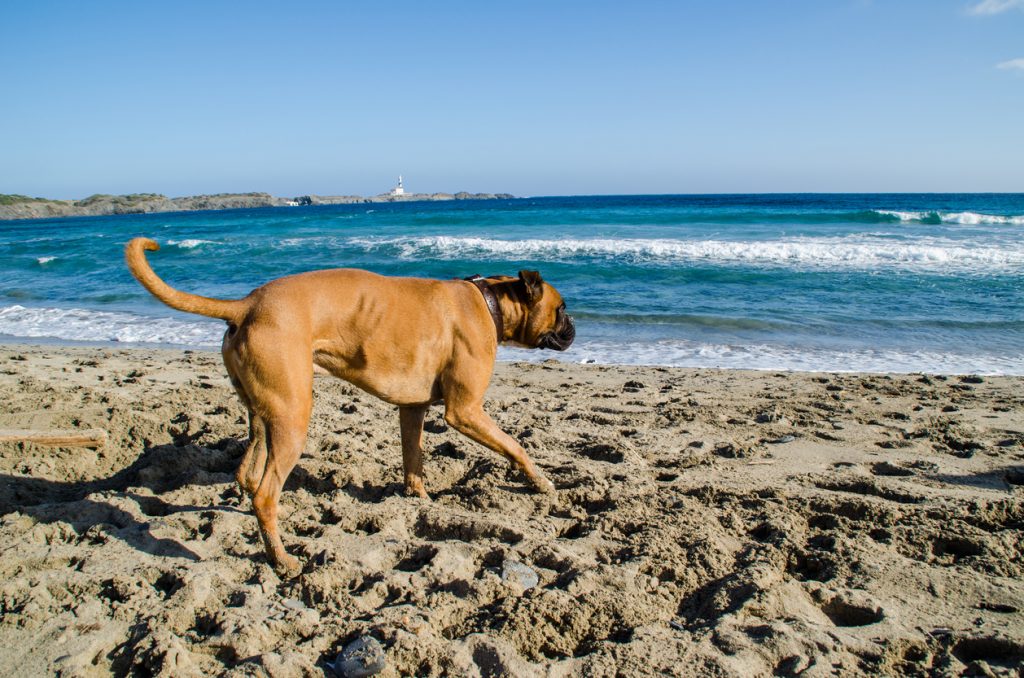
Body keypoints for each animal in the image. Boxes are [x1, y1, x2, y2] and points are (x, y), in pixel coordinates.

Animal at [123, 236, 573, 577]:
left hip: (264, 413)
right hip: (293, 418)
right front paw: (540, 481)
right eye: (562, 308)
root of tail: (247, 304)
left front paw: (418, 498)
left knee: (247, 471)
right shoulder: (465, 411)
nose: (573, 328)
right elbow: (516, 446)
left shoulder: (412, 409)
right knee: (265, 495)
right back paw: (281, 559)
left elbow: (413, 458)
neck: (489, 300)